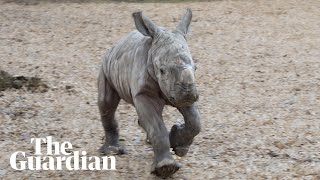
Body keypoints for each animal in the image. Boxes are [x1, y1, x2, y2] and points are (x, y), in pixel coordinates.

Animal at [99, 8, 201, 177]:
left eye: (196, 68)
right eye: (162, 70)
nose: (188, 95)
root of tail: (115, 45)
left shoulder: (177, 91)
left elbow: (195, 121)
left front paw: (179, 146)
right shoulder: (143, 93)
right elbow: (156, 127)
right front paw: (166, 169)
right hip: (105, 66)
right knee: (106, 104)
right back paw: (112, 152)